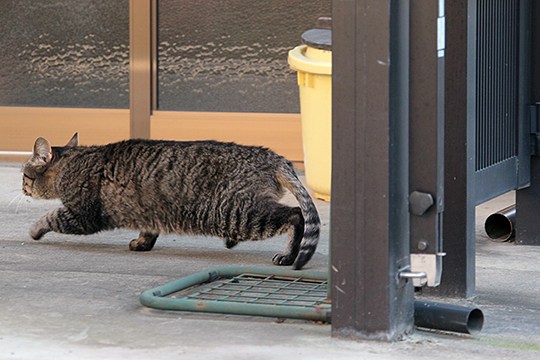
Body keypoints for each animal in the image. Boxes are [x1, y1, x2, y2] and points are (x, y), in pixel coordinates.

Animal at [22, 135, 320, 270]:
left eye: (24, 174)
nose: (22, 187)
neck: (72, 163)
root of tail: (273, 156)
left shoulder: (82, 215)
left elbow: (50, 216)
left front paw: (34, 230)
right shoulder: (147, 211)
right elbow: (149, 230)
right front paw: (142, 243)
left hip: (238, 213)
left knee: (296, 215)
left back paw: (289, 255)